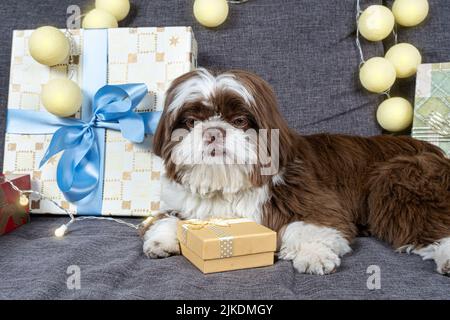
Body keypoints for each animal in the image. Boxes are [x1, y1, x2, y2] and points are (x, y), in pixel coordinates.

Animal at [142, 67, 450, 276]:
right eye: (191, 121)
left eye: (240, 121)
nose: (213, 132)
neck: (226, 185)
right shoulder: (181, 203)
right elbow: (170, 218)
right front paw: (160, 238)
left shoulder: (315, 202)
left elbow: (306, 226)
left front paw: (313, 254)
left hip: (400, 181)